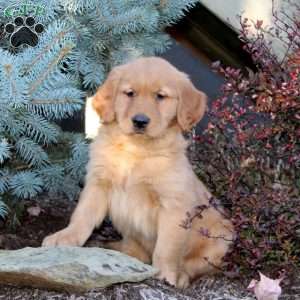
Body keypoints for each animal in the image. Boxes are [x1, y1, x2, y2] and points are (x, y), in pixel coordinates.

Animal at [42, 56, 234, 288]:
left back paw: (180, 277)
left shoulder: (174, 206)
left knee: (194, 266)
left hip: (222, 241)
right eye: (130, 93)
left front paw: (166, 274)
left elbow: (167, 247)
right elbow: (82, 216)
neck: (136, 150)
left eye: (160, 96)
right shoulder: (98, 183)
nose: (140, 121)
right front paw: (65, 238)